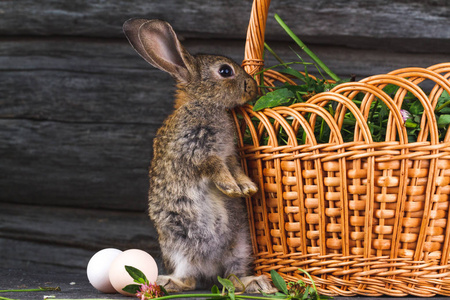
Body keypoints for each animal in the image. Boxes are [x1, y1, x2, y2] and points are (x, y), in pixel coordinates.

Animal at [123, 19, 276, 292]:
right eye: (225, 71)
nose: (253, 86)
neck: (204, 103)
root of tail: (211, 266)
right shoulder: (197, 153)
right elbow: (215, 169)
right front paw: (232, 189)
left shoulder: (230, 156)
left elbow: (235, 169)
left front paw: (247, 188)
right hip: (179, 243)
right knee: (189, 279)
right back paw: (168, 283)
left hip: (240, 246)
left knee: (233, 277)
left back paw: (256, 282)